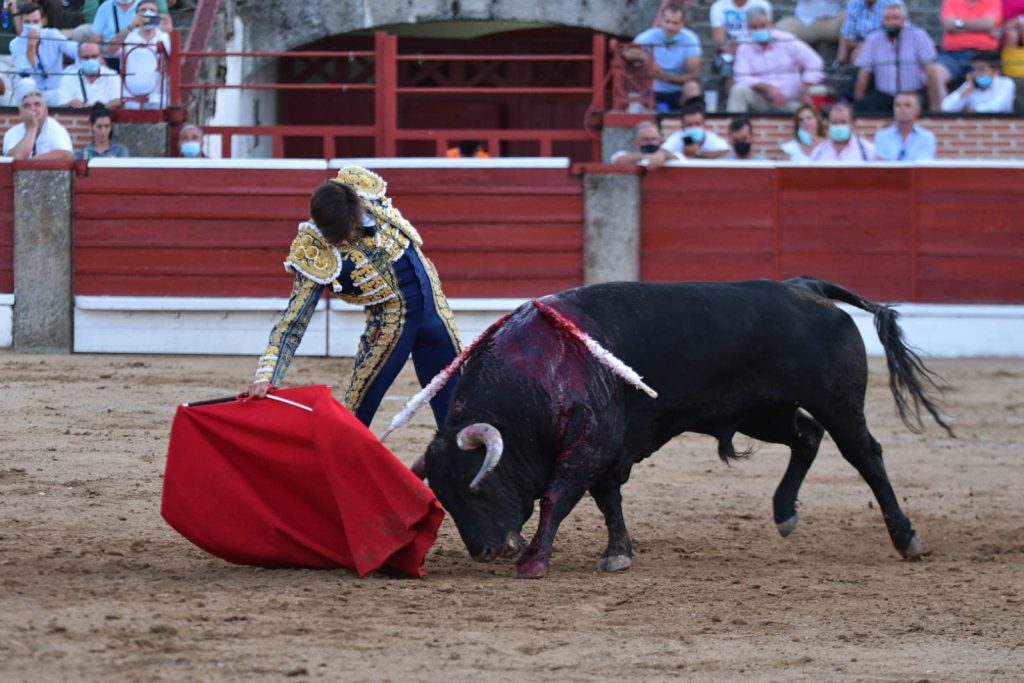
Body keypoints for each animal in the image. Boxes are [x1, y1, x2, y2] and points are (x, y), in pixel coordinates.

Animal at [419, 276, 946, 577]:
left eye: (475, 487)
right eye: (444, 496)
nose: (484, 551)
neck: (534, 375)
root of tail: (807, 288)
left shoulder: (587, 446)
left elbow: (559, 497)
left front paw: (534, 561)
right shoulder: (608, 449)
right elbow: (607, 499)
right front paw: (619, 553)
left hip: (837, 402)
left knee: (865, 454)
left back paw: (905, 538)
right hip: (762, 411)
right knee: (807, 436)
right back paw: (784, 513)